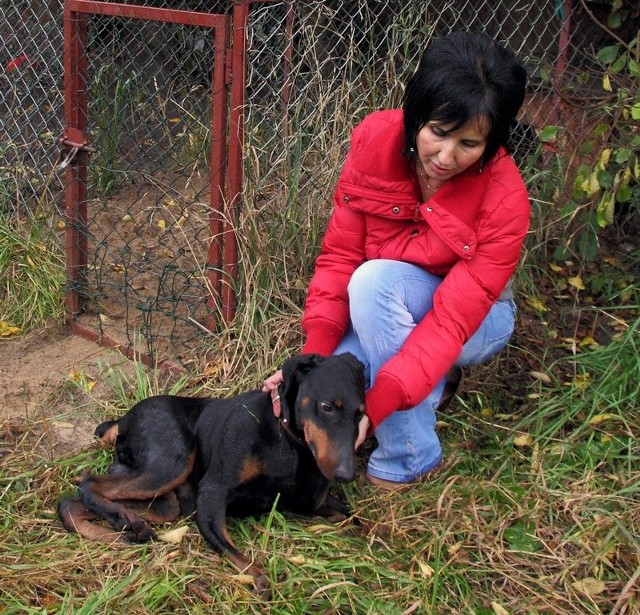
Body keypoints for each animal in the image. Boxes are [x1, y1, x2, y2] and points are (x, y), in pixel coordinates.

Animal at [57, 354, 364, 600]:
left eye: (360, 415)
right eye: (327, 406)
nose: (347, 474)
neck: (286, 440)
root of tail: (122, 420)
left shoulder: (312, 502)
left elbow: (359, 521)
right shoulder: (213, 491)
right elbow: (235, 552)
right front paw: (262, 580)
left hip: (165, 502)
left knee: (72, 505)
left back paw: (124, 529)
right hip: (170, 461)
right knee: (89, 484)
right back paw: (124, 521)